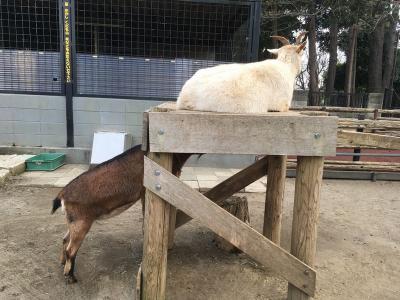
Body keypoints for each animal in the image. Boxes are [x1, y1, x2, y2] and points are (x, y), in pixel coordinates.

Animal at [51, 145, 191, 284]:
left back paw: (62, 263)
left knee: (64, 239)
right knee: (71, 250)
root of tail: (62, 195)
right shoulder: (145, 191)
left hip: (73, 221)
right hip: (81, 223)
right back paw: (71, 277)